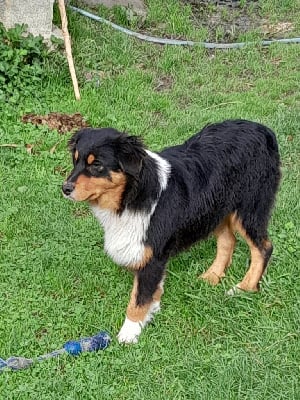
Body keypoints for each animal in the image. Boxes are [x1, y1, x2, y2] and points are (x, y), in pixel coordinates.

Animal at [62, 119, 280, 344]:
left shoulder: (153, 254)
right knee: (228, 241)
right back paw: (212, 276)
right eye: (75, 161)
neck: (133, 195)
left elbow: (138, 297)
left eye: (96, 164)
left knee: (263, 248)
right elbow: (151, 289)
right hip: (216, 210)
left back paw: (245, 287)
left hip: (248, 209)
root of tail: (262, 129)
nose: (65, 188)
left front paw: (130, 331)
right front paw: (152, 310)